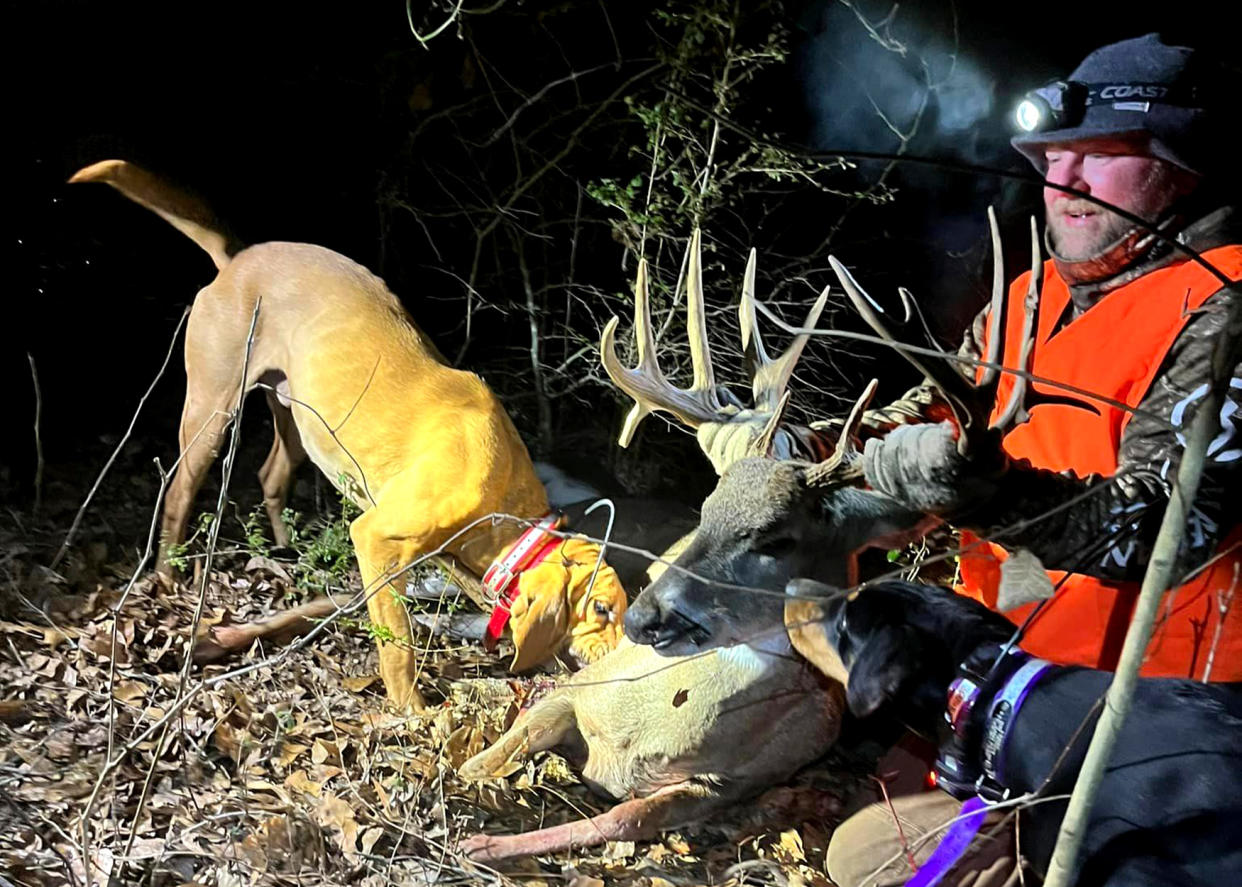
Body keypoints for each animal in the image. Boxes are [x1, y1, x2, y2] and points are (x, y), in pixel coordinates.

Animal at [70, 159, 621, 710]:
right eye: (603, 610)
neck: (502, 497)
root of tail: (235, 260)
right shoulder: (375, 539)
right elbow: (397, 643)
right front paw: (411, 712)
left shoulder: (442, 554)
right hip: (212, 410)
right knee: (179, 492)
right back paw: (169, 573)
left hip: (293, 415)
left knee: (271, 475)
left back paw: (285, 557)